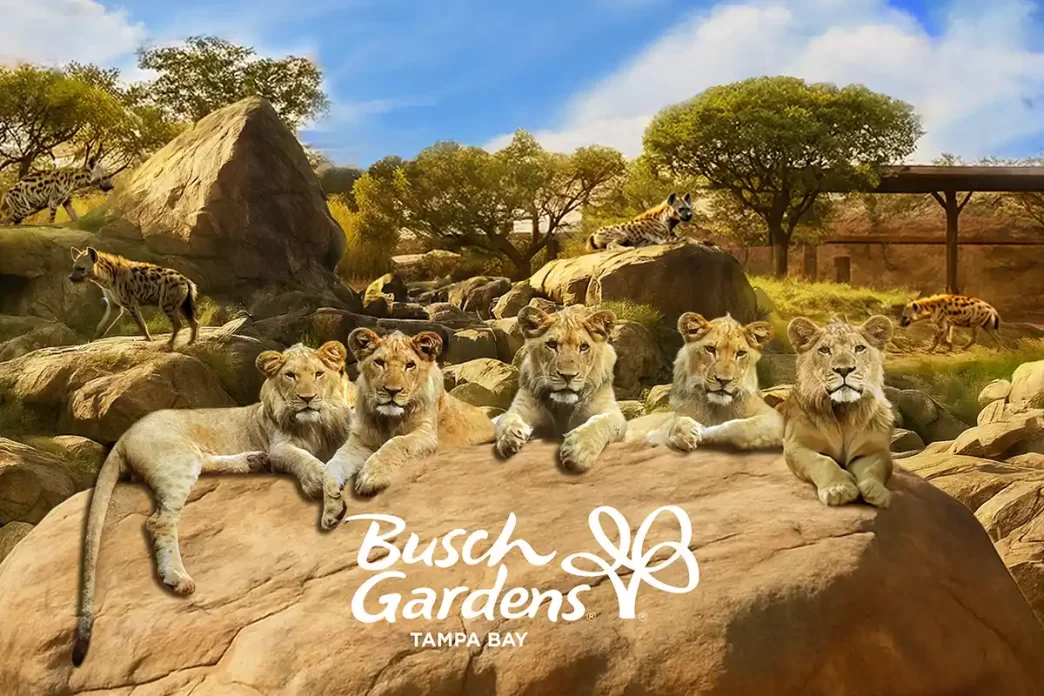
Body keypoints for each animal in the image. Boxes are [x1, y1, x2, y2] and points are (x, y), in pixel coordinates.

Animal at [73, 342, 353, 666]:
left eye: (319, 374)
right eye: (290, 375)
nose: (307, 399)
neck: (316, 425)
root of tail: (123, 436)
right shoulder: (280, 446)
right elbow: (309, 462)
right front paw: (328, 499)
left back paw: (253, 461)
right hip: (178, 460)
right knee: (159, 521)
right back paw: (177, 577)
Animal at [321, 329, 494, 529]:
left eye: (410, 365)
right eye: (379, 362)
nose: (392, 391)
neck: (388, 420)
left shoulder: (426, 434)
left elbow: (396, 443)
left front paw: (370, 477)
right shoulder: (359, 441)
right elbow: (332, 464)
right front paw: (331, 506)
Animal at [495, 305, 626, 472]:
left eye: (584, 347)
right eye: (552, 344)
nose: (568, 376)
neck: (563, 406)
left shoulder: (612, 413)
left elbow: (598, 423)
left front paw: (578, 450)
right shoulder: (522, 406)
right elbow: (507, 418)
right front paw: (509, 438)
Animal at [625, 312, 782, 451]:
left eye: (741, 353)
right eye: (710, 349)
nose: (723, 380)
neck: (717, 407)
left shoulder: (774, 419)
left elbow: (737, 426)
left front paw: (701, 431)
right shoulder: (679, 413)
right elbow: (675, 423)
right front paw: (684, 432)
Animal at [781, 316, 895, 508]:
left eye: (859, 348)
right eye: (825, 350)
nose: (844, 369)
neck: (845, 413)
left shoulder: (874, 449)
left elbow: (876, 466)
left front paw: (877, 491)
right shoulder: (796, 445)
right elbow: (823, 461)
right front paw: (838, 489)